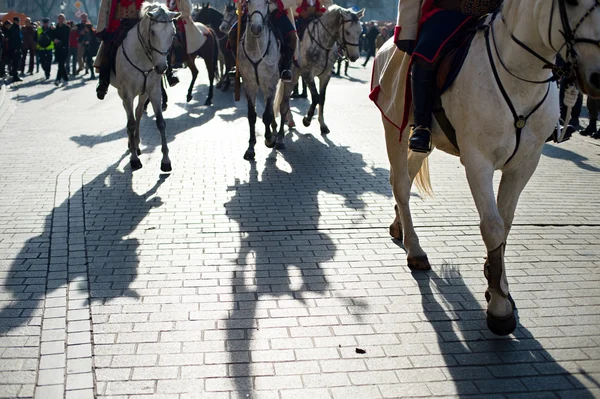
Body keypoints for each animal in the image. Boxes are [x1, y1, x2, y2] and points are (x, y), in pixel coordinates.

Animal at [111, 2, 179, 172]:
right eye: (153, 32)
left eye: (173, 33)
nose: (161, 67)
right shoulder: (127, 93)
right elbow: (130, 123)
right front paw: (134, 159)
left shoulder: (154, 91)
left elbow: (160, 123)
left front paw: (165, 161)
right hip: (122, 93)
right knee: (130, 115)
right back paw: (132, 145)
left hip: (143, 93)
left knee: (138, 112)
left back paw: (136, 143)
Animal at [237, 0, 284, 161]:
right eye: (248, 2)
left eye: (267, 2)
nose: (256, 28)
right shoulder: (249, 85)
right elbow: (252, 116)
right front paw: (251, 147)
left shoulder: (269, 84)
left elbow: (267, 115)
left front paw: (269, 139)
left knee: (282, 106)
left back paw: (279, 137)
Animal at [274, 5, 364, 136]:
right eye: (347, 32)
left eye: (360, 31)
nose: (354, 57)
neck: (322, 43)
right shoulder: (307, 74)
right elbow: (316, 97)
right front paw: (307, 119)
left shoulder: (325, 75)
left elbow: (322, 98)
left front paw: (323, 125)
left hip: (293, 76)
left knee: (285, 98)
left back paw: (289, 120)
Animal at [372, 0, 600, 338]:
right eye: (570, 3)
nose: (597, 77)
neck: (519, 78)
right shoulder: (478, 162)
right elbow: (492, 226)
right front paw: (499, 307)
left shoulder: (525, 164)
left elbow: (505, 224)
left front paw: (497, 281)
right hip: (395, 126)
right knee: (399, 181)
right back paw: (415, 249)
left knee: (408, 180)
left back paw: (400, 224)